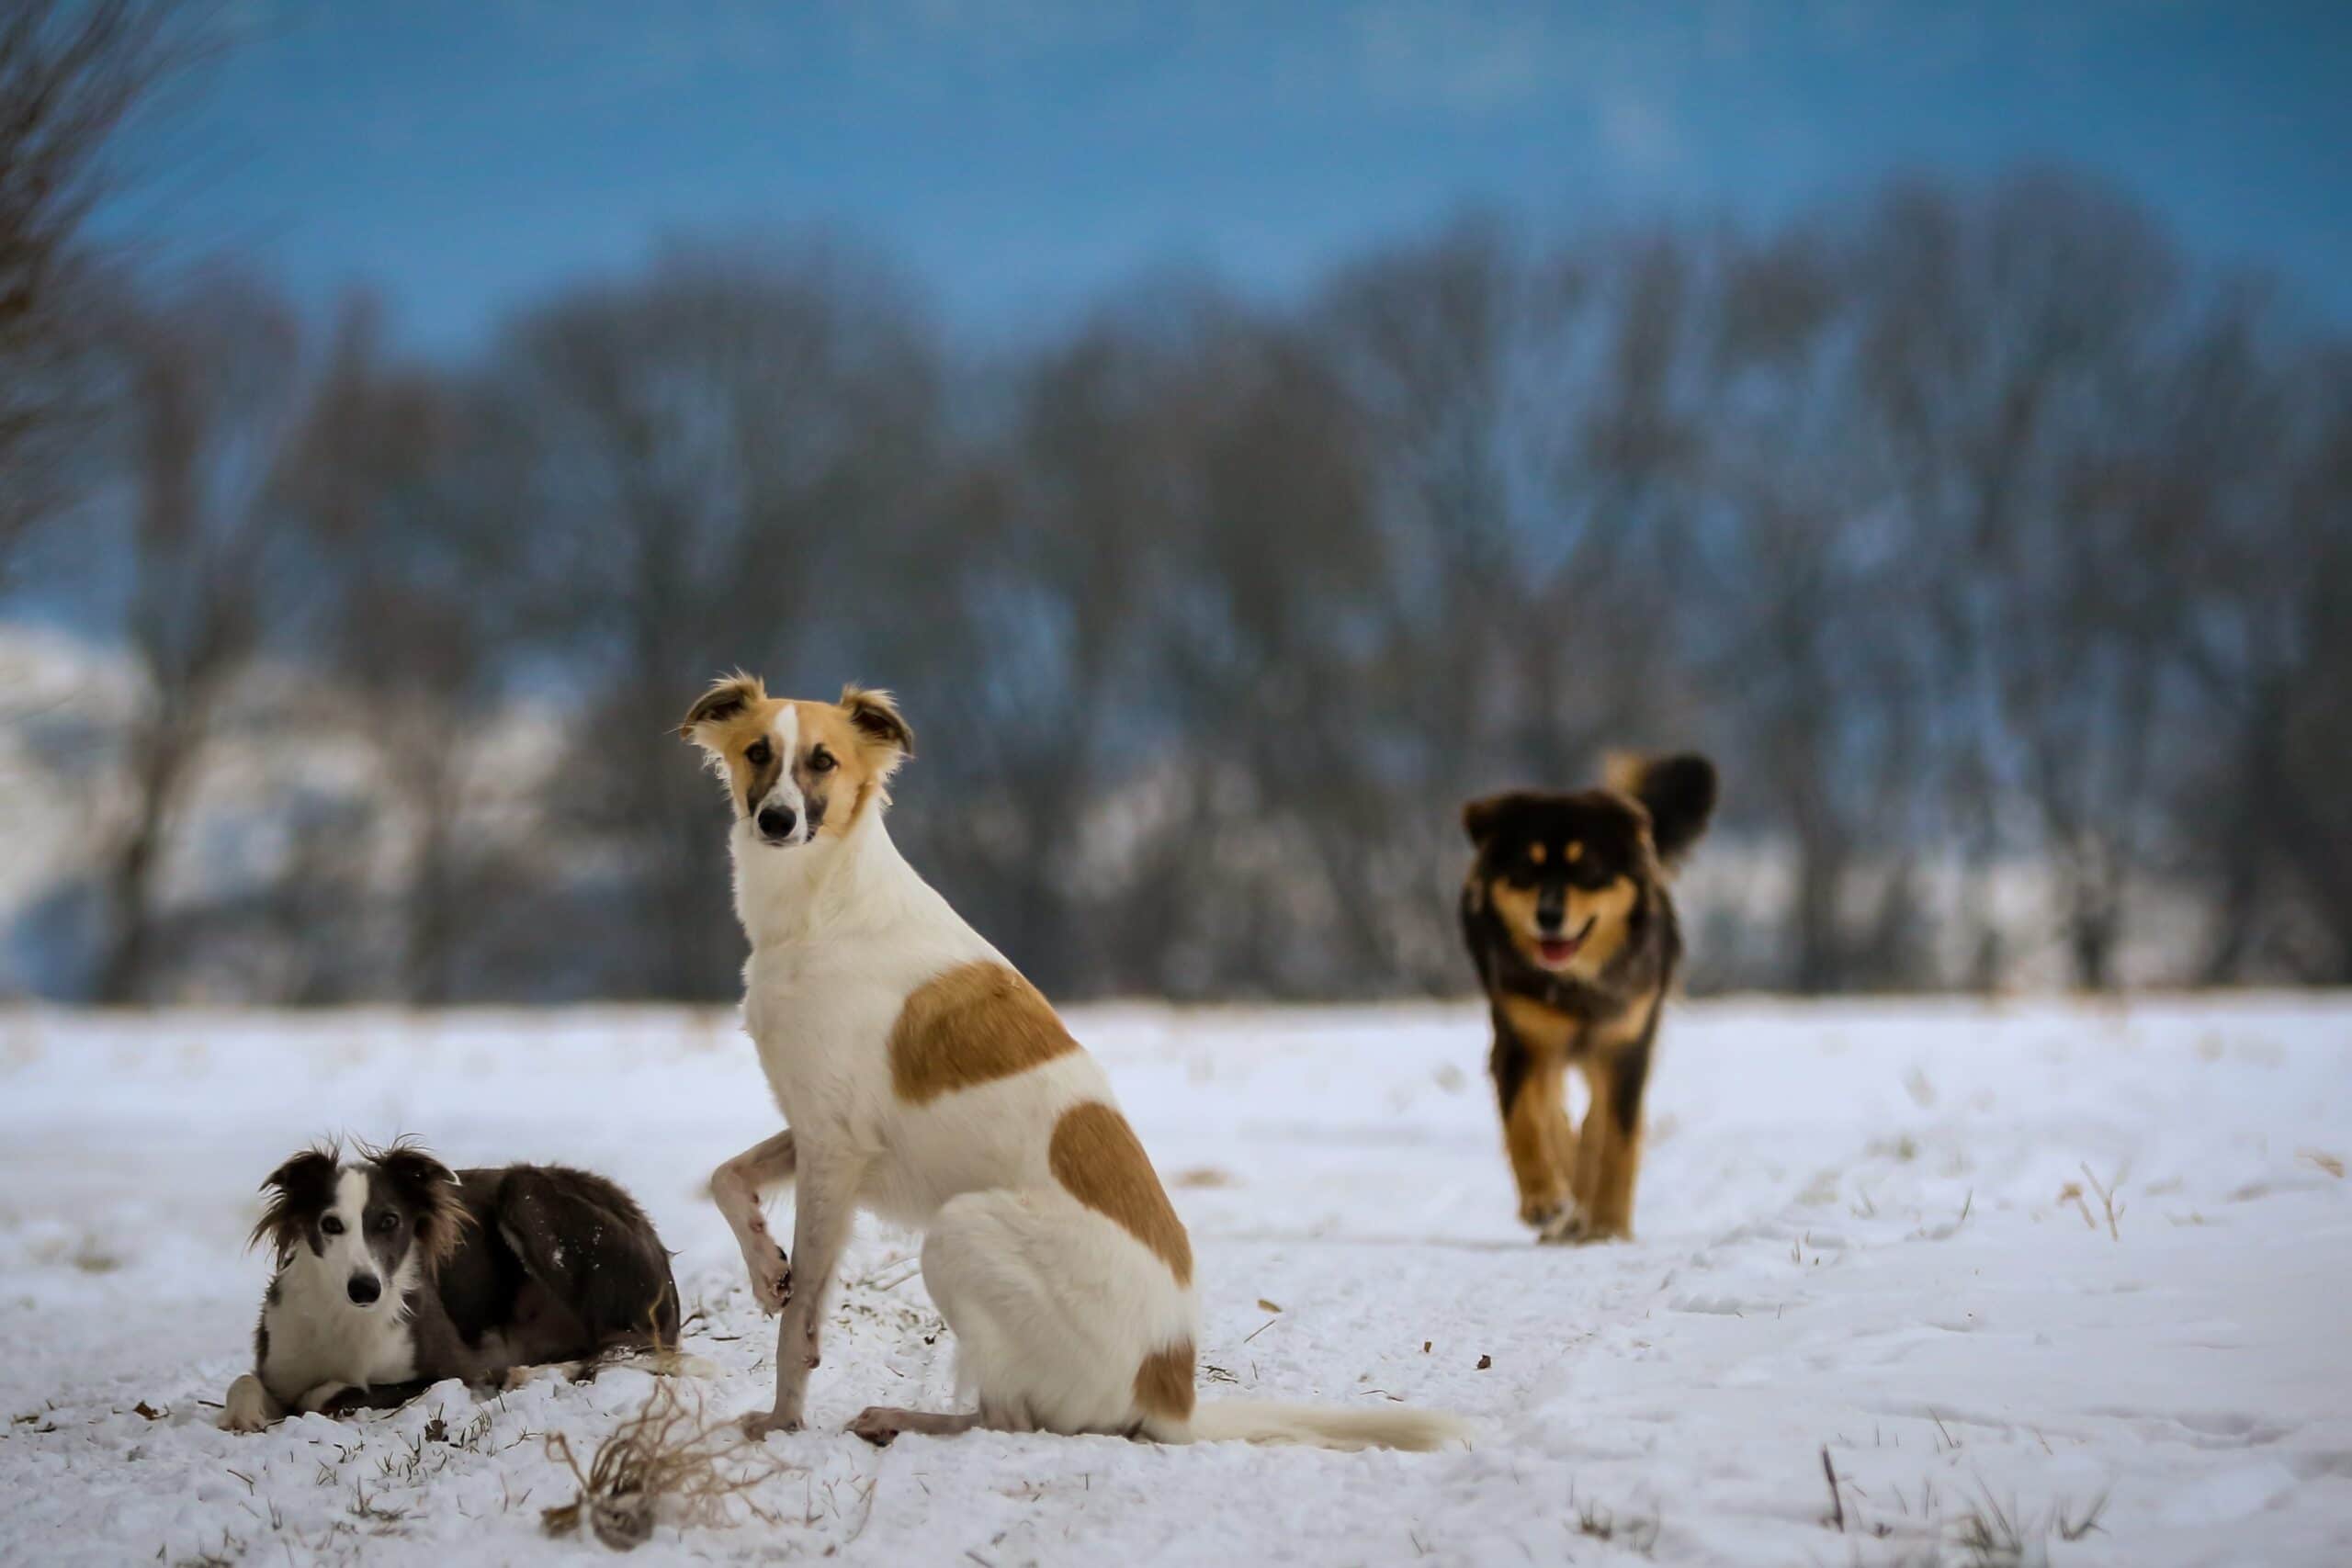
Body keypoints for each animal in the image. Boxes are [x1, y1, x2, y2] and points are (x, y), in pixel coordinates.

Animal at [223, 1142, 682, 1438]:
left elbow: (324, 1394)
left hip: (525, 1193)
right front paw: (243, 1418)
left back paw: (530, 1373)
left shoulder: (452, 1371)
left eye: (389, 1221)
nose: (365, 1289)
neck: (346, 1316)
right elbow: (245, 1382)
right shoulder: (279, 1366)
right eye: (330, 1224)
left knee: (624, 1345)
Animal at [673, 671, 1458, 1448]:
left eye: (824, 761)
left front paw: (782, 1419)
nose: (776, 821)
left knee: (1008, 1419)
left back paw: (903, 1418)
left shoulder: (836, 1146)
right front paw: (763, 1265)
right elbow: (726, 1176)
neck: (826, 906)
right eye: (756, 751)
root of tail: (1170, 1389)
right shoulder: (817, 1130)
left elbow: (800, 1317)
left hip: (959, 1232)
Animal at [1458, 751, 1721, 1241]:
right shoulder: (1519, 1039)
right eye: (1525, 869)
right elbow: (1525, 1121)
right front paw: (1543, 1200)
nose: (1549, 915)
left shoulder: (1626, 1043)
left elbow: (1617, 1138)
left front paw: (1609, 1226)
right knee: (1554, 1113)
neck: (1576, 984)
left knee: (1591, 1121)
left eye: (1587, 870)